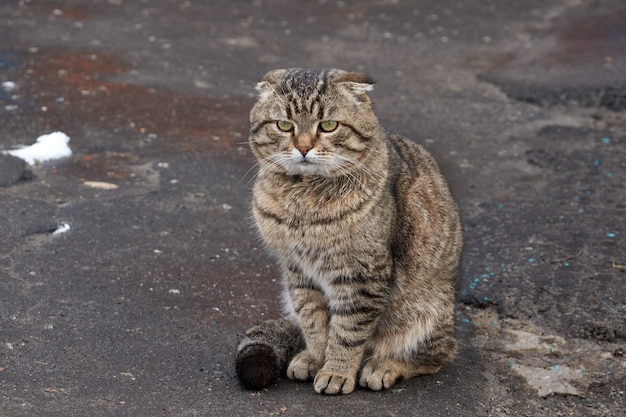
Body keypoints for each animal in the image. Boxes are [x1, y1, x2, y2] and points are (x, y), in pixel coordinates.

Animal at [236, 68, 460, 394]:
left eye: (328, 125)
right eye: (284, 125)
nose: (303, 148)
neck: (303, 199)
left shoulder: (361, 275)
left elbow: (348, 331)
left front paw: (336, 372)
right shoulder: (298, 271)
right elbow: (314, 322)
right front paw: (316, 358)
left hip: (426, 310)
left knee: (437, 354)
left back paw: (383, 365)